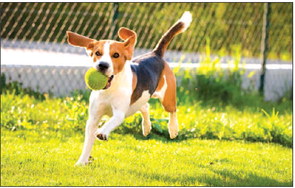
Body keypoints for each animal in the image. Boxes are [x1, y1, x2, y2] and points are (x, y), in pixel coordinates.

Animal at [67, 11, 192, 164]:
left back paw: (173, 129)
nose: (102, 65)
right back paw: (146, 127)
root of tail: (155, 53)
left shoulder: (119, 113)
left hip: (167, 98)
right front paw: (81, 162)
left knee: (172, 111)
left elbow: (109, 122)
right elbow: (87, 143)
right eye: (97, 53)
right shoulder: (93, 118)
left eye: (116, 55)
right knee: (145, 106)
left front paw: (102, 132)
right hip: (139, 100)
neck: (110, 88)